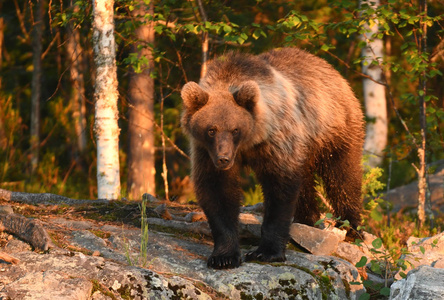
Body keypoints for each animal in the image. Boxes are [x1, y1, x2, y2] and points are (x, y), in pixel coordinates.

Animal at [180, 47, 364, 270]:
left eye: (235, 129)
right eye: (211, 130)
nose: (223, 159)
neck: (250, 142)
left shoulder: (276, 142)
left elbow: (280, 190)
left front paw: (266, 251)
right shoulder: (206, 152)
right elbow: (217, 191)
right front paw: (224, 256)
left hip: (332, 129)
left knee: (342, 176)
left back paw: (351, 227)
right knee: (305, 184)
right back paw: (306, 220)